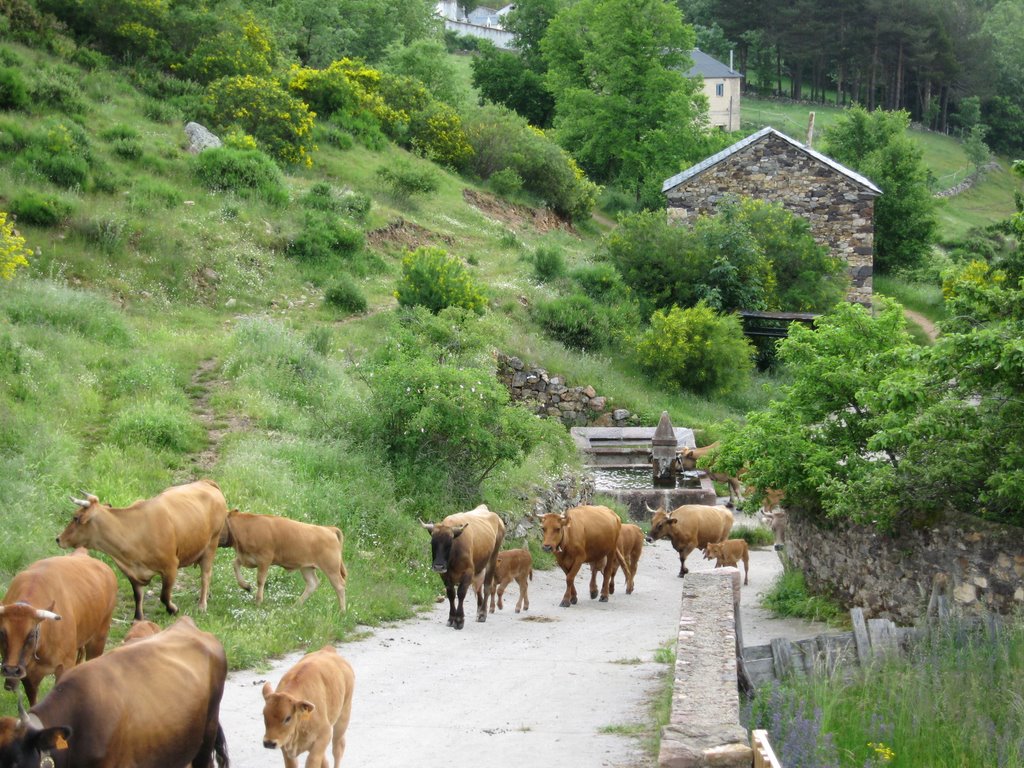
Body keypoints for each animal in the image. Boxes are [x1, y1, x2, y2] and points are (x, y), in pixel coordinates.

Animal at [0, 548, 117, 708]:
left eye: (32, 634)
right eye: (2, 632)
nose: (11, 670)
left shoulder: (65, 665)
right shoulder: (28, 674)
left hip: (99, 638)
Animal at [58, 479, 231, 622]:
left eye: (76, 518)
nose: (58, 539)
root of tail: (205, 482)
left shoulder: (171, 566)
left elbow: (164, 595)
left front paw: (173, 609)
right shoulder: (132, 572)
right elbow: (138, 595)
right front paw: (138, 618)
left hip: (212, 543)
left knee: (205, 575)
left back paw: (202, 604)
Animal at [222, 512, 350, 614]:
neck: (248, 528)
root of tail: (329, 529)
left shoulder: (264, 560)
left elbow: (260, 580)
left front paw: (258, 601)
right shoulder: (247, 558)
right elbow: (235, 564)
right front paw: (246, 586)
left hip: (331, 568)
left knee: (339, 585)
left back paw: (342, 611)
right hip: (306, 567)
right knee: (312, 583)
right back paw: (296, 606)